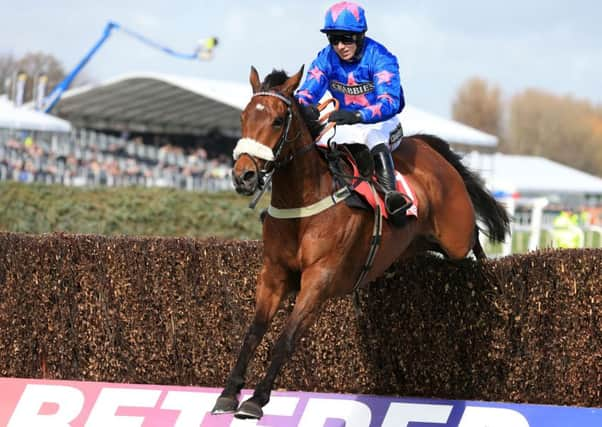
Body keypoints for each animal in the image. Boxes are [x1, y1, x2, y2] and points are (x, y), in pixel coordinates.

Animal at [210, 65, 506, 420]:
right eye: (243, 117)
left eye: (278, 121)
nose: (244, 176)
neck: (304, 203)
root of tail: (431, 150)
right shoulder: (273, 274)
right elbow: (253, 333)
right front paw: (228, 393)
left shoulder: (319, 280)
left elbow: (286, 338)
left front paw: (257, 400)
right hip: (414, 245)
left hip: (456, 237)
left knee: (474, 239)